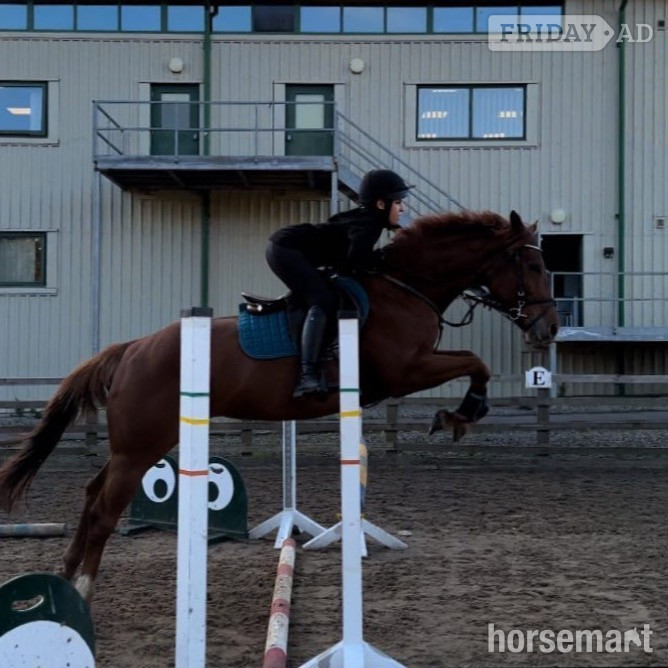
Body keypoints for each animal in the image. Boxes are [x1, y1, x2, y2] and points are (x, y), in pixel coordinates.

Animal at [0, 209, 558, 603]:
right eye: (533, 265)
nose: (548, 329)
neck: (407, 287)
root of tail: (131, 348)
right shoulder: (407, 369)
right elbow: (476, 362)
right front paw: (461, 415)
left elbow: (474, 362)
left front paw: (460, 415)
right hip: (141, 446)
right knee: (102, 510)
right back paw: (83, 588)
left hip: (134, 446)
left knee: (92, 495)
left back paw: (65, 576)